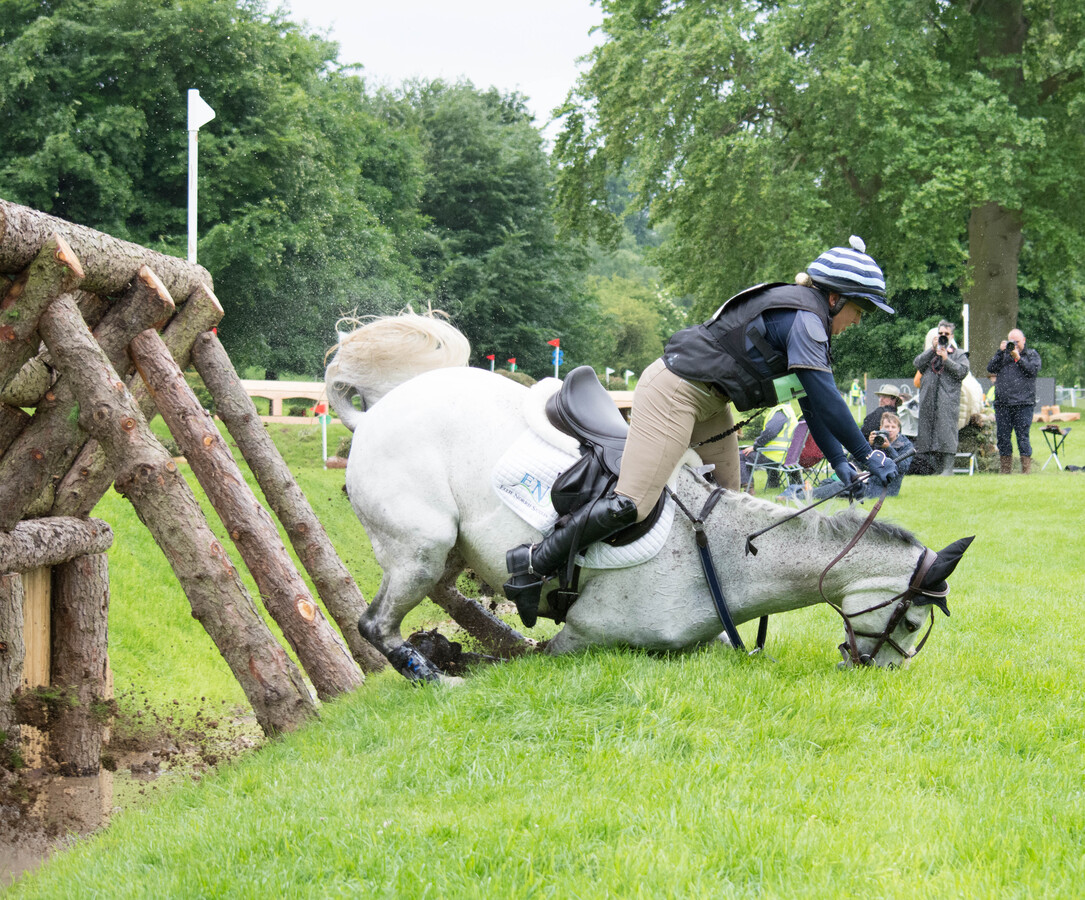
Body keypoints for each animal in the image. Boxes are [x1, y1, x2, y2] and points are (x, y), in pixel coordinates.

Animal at [326, 312, 973, 681]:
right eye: (913, 621)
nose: (877, 672)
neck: (728, 558)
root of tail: (376, 412)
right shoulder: (582, 641)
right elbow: (541, 653)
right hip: (424, 543)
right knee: (376, 623)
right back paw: (437, 675)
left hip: (444, 549)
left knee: (443, 595)